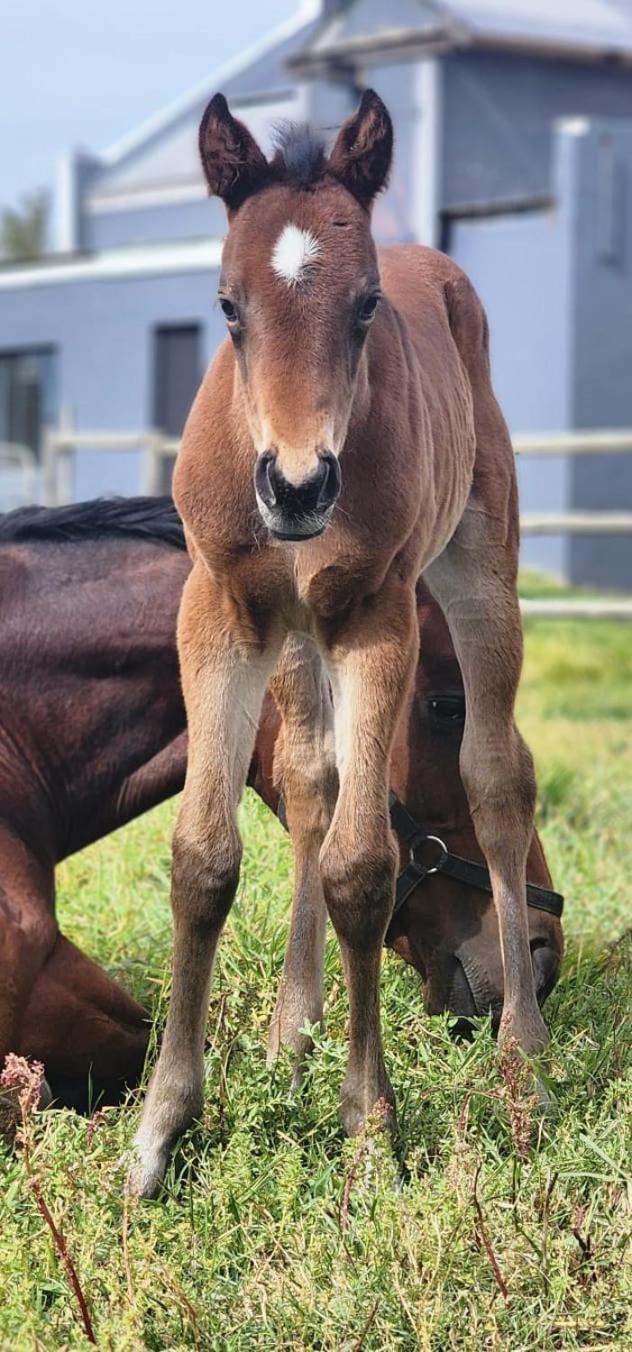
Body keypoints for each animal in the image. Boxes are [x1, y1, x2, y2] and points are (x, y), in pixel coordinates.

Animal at [133, 92, 562, 1195]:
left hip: (477, 573)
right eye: (227, 306)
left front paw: (368, 1129)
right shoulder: (224, 611)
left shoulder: (377, 615)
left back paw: (525, 1060)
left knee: (496, 782)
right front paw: (159, 1131)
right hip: (296, 639)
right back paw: (294, 1030)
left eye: (366, 306)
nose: (295, 486)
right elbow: (204, 857)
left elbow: (365, 866)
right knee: (312, 783)